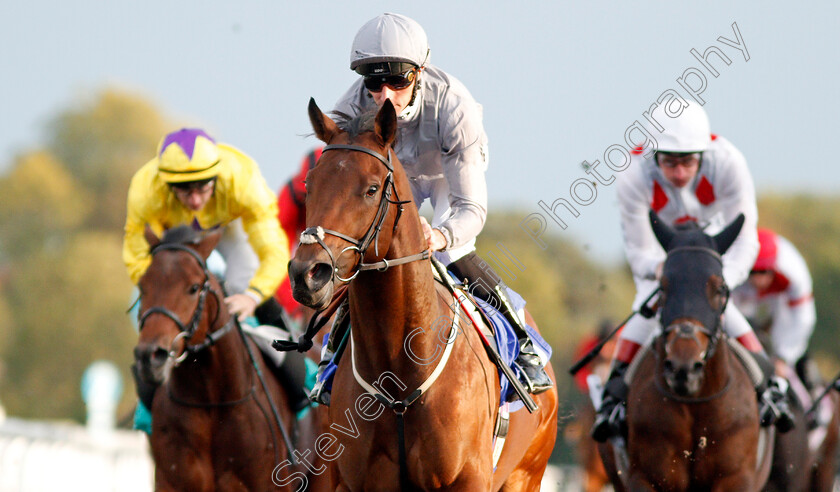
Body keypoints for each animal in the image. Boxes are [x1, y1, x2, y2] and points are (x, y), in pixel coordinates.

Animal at [288, 98, 556, 490]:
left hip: (526, 474)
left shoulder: (469, 479)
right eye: (309, 184)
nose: (307, 274)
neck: (401, 368)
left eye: (371, 189)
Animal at [596, 212, 776, 492]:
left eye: (719, 288)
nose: (684, 367)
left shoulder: (736, 478)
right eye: (662, 286)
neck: (695, 405)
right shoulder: (647, 478)